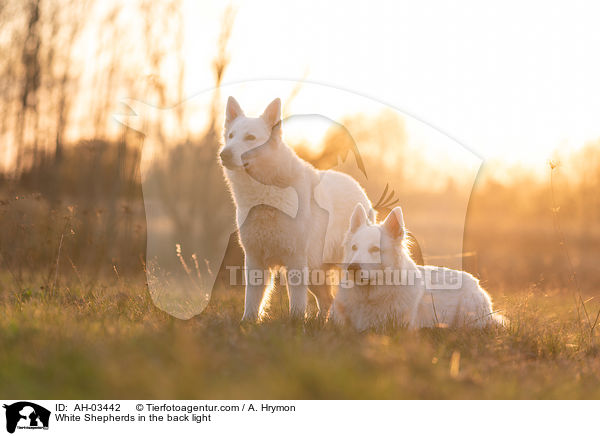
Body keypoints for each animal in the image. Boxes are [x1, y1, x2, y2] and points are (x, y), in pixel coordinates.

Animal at [220, 97, 370, 322]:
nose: (224, 154)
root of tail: (358, 187)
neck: (265, 195)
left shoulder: (296, 260)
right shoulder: (255, 259)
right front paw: (247, 323)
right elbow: (251, 300)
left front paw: (297, 323)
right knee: (327, 300)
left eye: (250, 137)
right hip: (315, 272)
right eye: (231, 136)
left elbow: (297, 302)